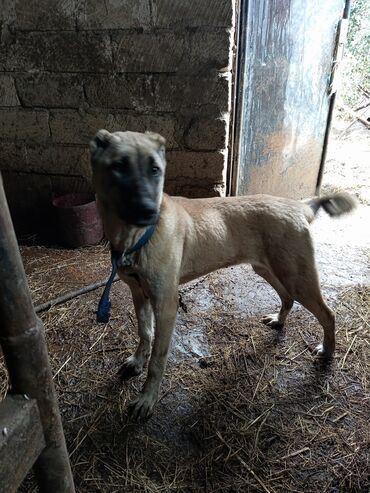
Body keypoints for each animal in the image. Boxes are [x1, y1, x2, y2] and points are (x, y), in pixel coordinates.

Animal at [89, 128, 356, 418]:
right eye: (118, 166)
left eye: (155, 170)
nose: (149, 211)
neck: (136, 238)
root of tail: (301, 206)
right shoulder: (139, 293)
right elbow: (144, 332)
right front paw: (137, 361)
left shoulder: (166, 304)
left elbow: (158, 359)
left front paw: (147, 397)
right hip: (268, 269)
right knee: (287, 298)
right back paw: (279, 320)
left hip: (298, 276)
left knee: (327, 314)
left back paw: (328, 351)